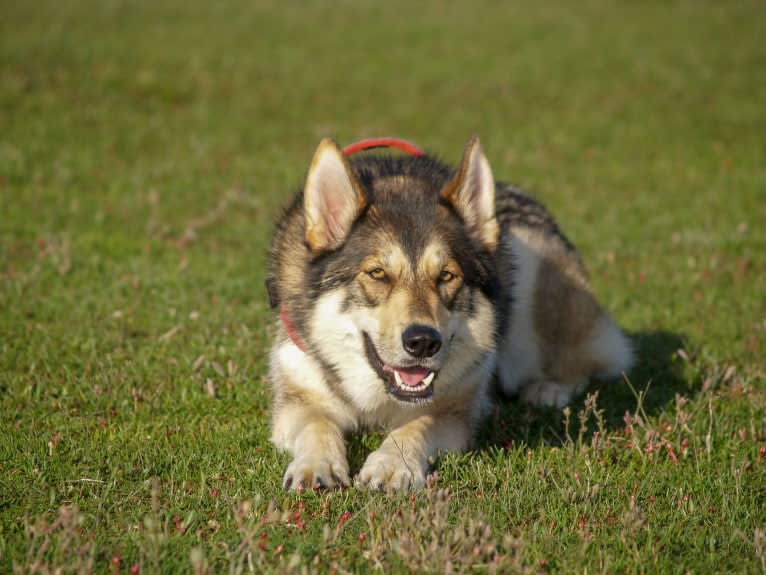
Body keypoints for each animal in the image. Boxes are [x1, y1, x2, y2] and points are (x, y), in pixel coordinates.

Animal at [268, 135, 632, 490]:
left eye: (446, 275)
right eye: (377, 273)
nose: (423, 342)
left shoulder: (454, 408)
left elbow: (414, 426)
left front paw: (391, 466)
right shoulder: (296, 400)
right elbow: (318, 425)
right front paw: (316, 467)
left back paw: (549, 389)